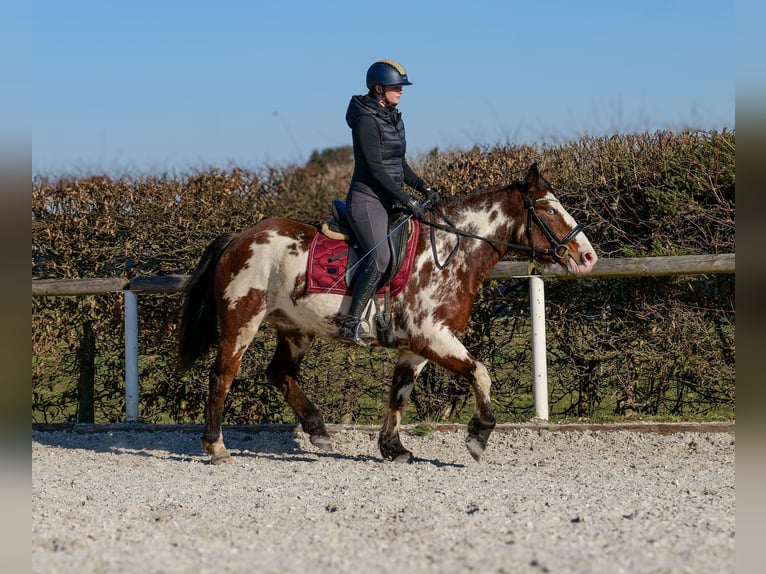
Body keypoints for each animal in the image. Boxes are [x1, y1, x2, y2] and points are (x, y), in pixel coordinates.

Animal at [180, 161, 600, 464]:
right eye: (549, 208)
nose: (587, 257)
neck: (448, 253)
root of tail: (239, 237)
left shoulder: (417, 346)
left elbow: (399, 394)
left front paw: (393, 448)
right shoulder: (434, 336)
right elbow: (480, 373)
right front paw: (478, 435)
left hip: (296, 329)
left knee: (279, 372)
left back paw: (317, 429)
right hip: (242, 322)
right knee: (222, 375)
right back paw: (216, 446)